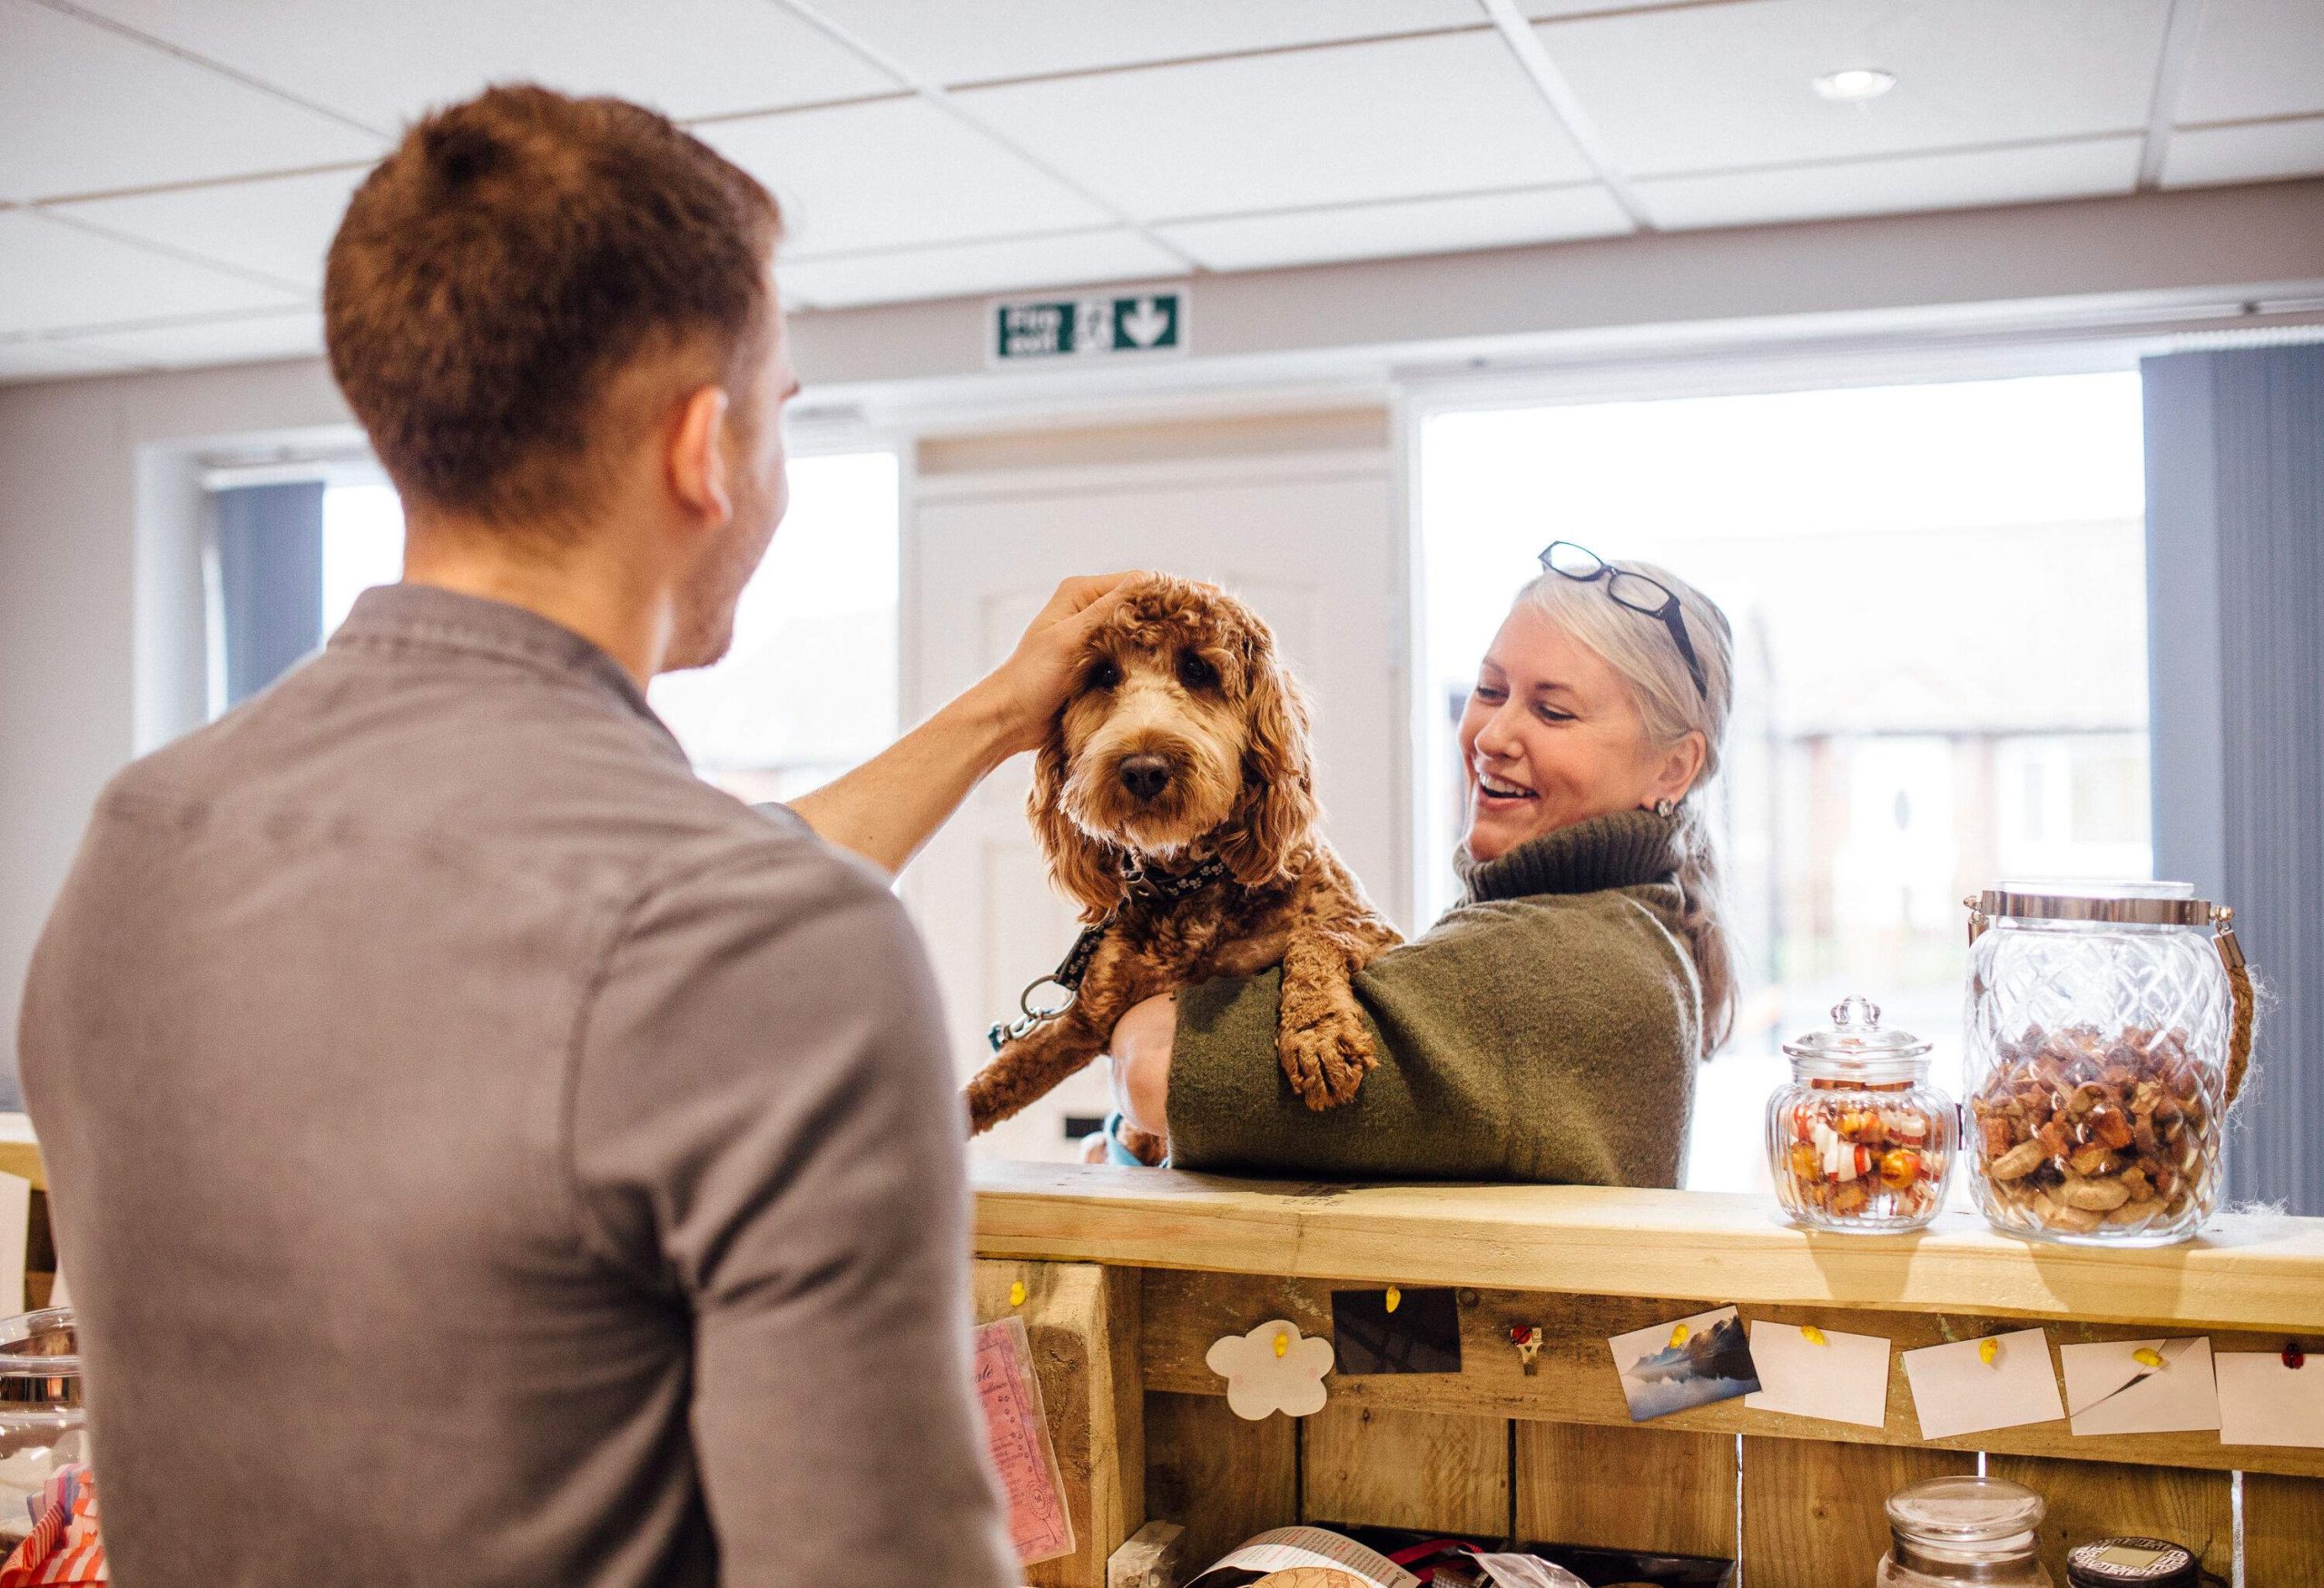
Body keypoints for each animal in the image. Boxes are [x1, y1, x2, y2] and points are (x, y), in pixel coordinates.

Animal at [961, 571, 1394, 1153]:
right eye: (1103, 674)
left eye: (1197, 669)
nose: (1144, 768)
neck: (1187, 880)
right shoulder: (1088, 1019)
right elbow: (999, 1077)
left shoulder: (1375, 930)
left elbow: (1317, 936)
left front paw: (1317, 1034)